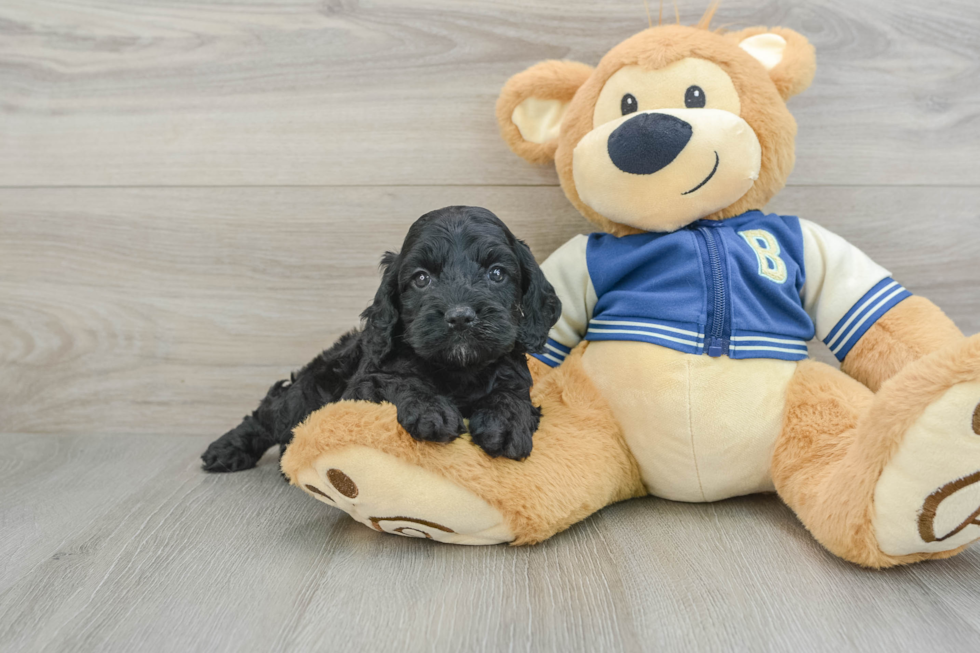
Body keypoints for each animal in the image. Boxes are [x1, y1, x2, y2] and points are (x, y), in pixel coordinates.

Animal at [201, 205, 560, 468]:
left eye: (497, 273)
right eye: (421, 279)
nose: (460, 316)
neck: (458, 370)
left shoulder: (514, 379)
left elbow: (510, 396)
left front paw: (506, 424)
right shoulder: (364, 384)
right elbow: (401, 381)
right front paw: (431, 411)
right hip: (313, 385)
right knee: (271, 413)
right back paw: (225, 450)